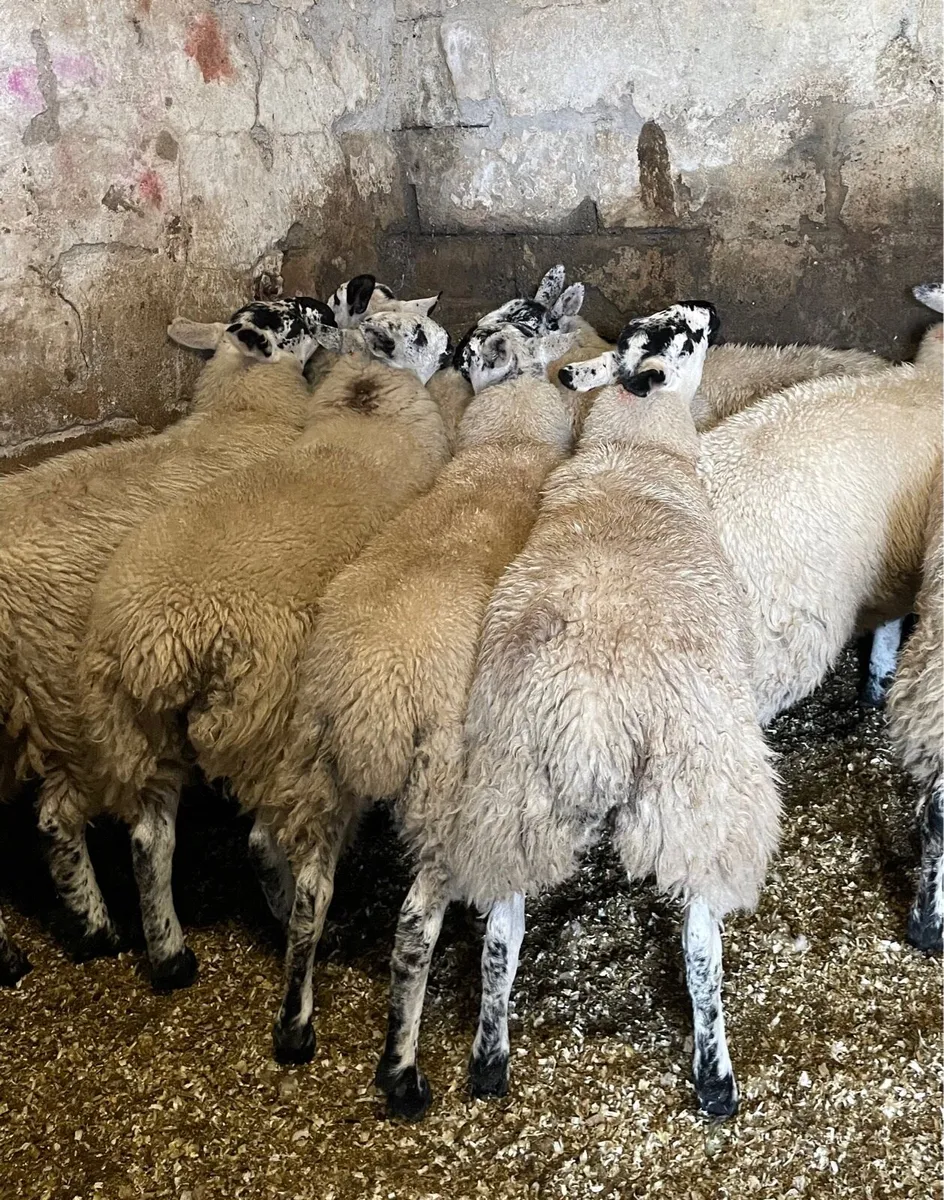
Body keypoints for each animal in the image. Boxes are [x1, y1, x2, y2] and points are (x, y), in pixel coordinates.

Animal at [0, 297, 339, 976]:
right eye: (291, 317)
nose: (322, 304)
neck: (239, 413)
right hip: (71, 704)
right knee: (78, 824)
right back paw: (121, 936)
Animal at [77, 312, 452, 991]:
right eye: (421, 332)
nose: (453, 346)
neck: (366, 406)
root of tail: (169, 639)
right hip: (266, 719)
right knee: (260, 840)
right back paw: (284, 918)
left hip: (132, 724)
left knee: (148, 840)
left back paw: (171, 957)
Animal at [263, 314, 583, 1067]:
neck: (504, 455)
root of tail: (371, 703)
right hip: (441, 787)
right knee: (413, 924)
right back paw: (401, 1066)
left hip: (314, 762)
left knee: (310, 897)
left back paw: (295, 1025)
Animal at [372, 303, 781, 1121]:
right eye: (687, 334)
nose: (714, 310)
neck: (633, 451)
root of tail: (592, 719)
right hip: (700, 796)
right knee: (700, 945)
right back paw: (715, 1079)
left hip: (509, 798)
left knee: (500, 935)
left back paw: (488, 1061)